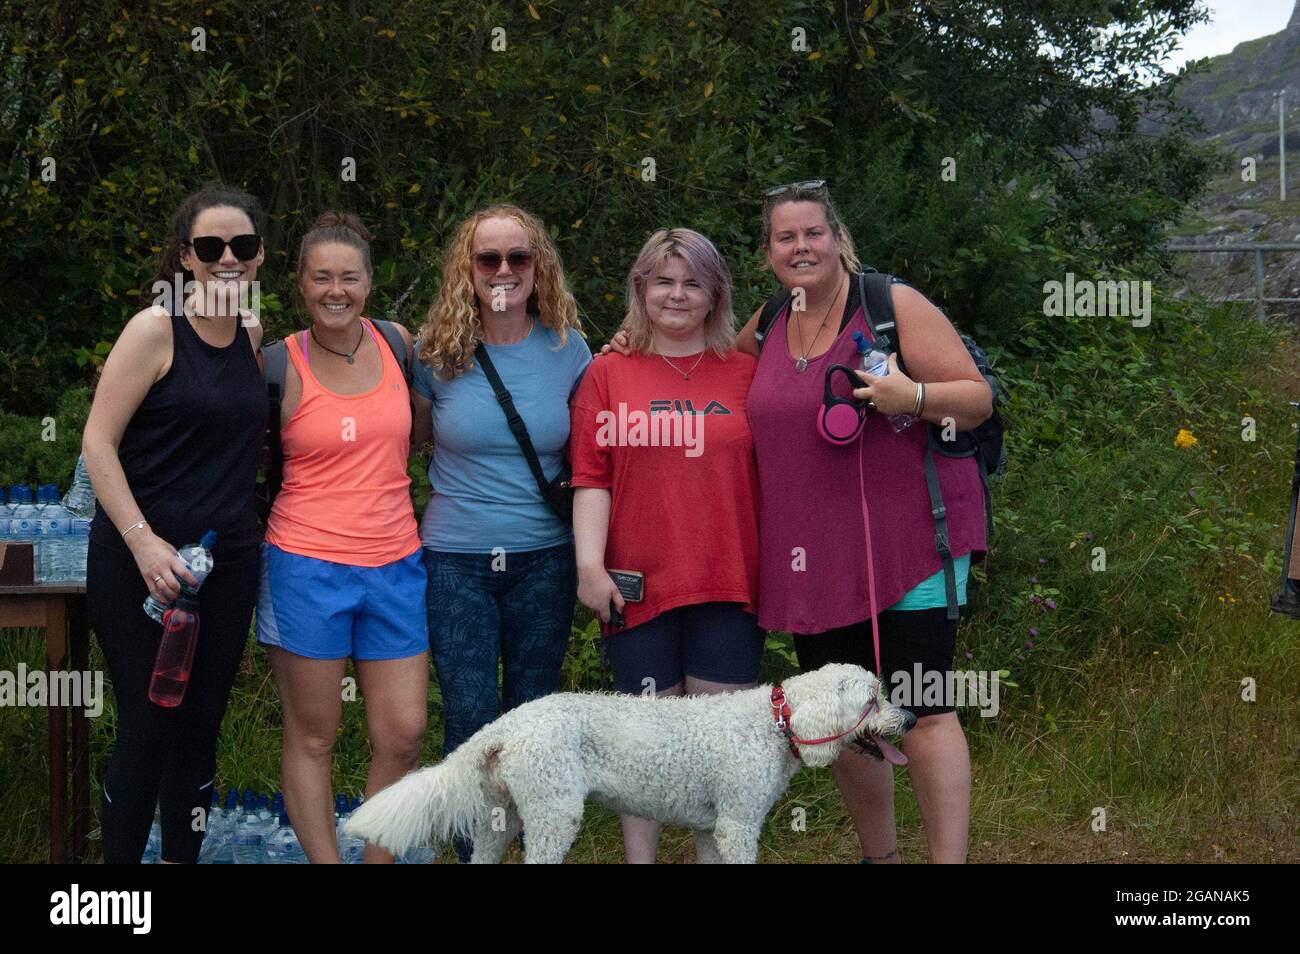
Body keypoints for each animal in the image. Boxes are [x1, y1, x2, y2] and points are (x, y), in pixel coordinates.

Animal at [345, 665, 915, 868]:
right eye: (873, 699)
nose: (908, 718)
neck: (773, 722)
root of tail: (503, 728)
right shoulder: (737, 826)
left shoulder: (712, 830)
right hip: (553, 817)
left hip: (497, 822)